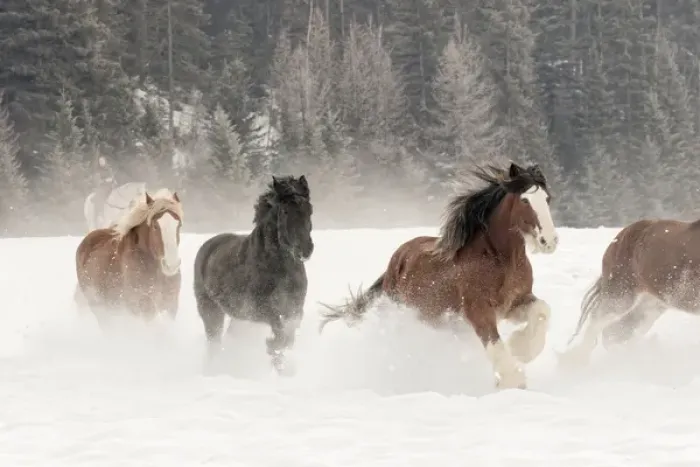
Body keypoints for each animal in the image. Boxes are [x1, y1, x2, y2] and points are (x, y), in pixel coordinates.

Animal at [75, 189, 184, 328]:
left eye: (179, 225)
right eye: (155, 226)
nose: (171, 265)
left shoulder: (171, 305)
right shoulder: (142, 307)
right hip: (98, 306)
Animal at [193, 175, 314, 376]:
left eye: (309, 209)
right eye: (285, 211)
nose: (305, 250)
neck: (280, 268)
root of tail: (208, 246)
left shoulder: (295, 308)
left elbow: (289, 335)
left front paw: (280, 363)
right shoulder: (258, 309)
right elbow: (280, 332)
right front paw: (272, 347)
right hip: (211, 310)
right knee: (214, 342)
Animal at [318, 162, 559, 390]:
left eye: (547, 198)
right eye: (525, 200)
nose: (549, 241)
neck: (502, 259)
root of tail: (396, 259)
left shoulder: (513, 303)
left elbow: (542, 310)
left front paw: (521, 348)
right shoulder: (477, 309)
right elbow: (494, 342)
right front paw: (512, 380)